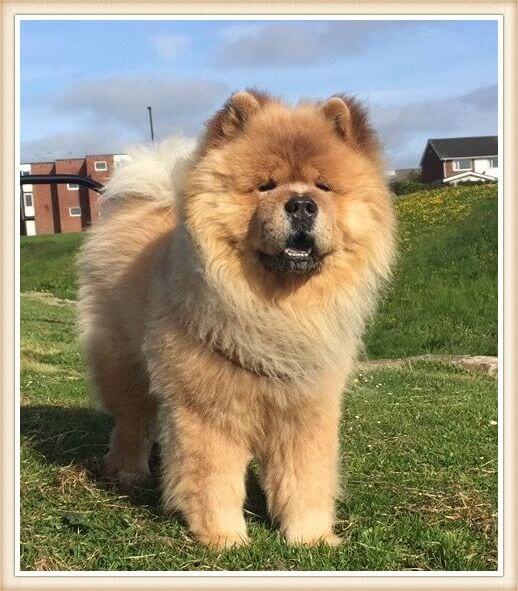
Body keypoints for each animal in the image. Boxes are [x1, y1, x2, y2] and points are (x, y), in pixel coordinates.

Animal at [77, 90, 396, 548]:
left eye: (323, 186)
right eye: (265, 186)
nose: (302, 205)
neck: (275, 312)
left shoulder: (306, 411)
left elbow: (306, 477)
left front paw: (311, 537)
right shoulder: (210, 411)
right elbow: (214, 479)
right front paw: (224, 537)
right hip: (124, 363)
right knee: (132, 420)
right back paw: (126, 472)